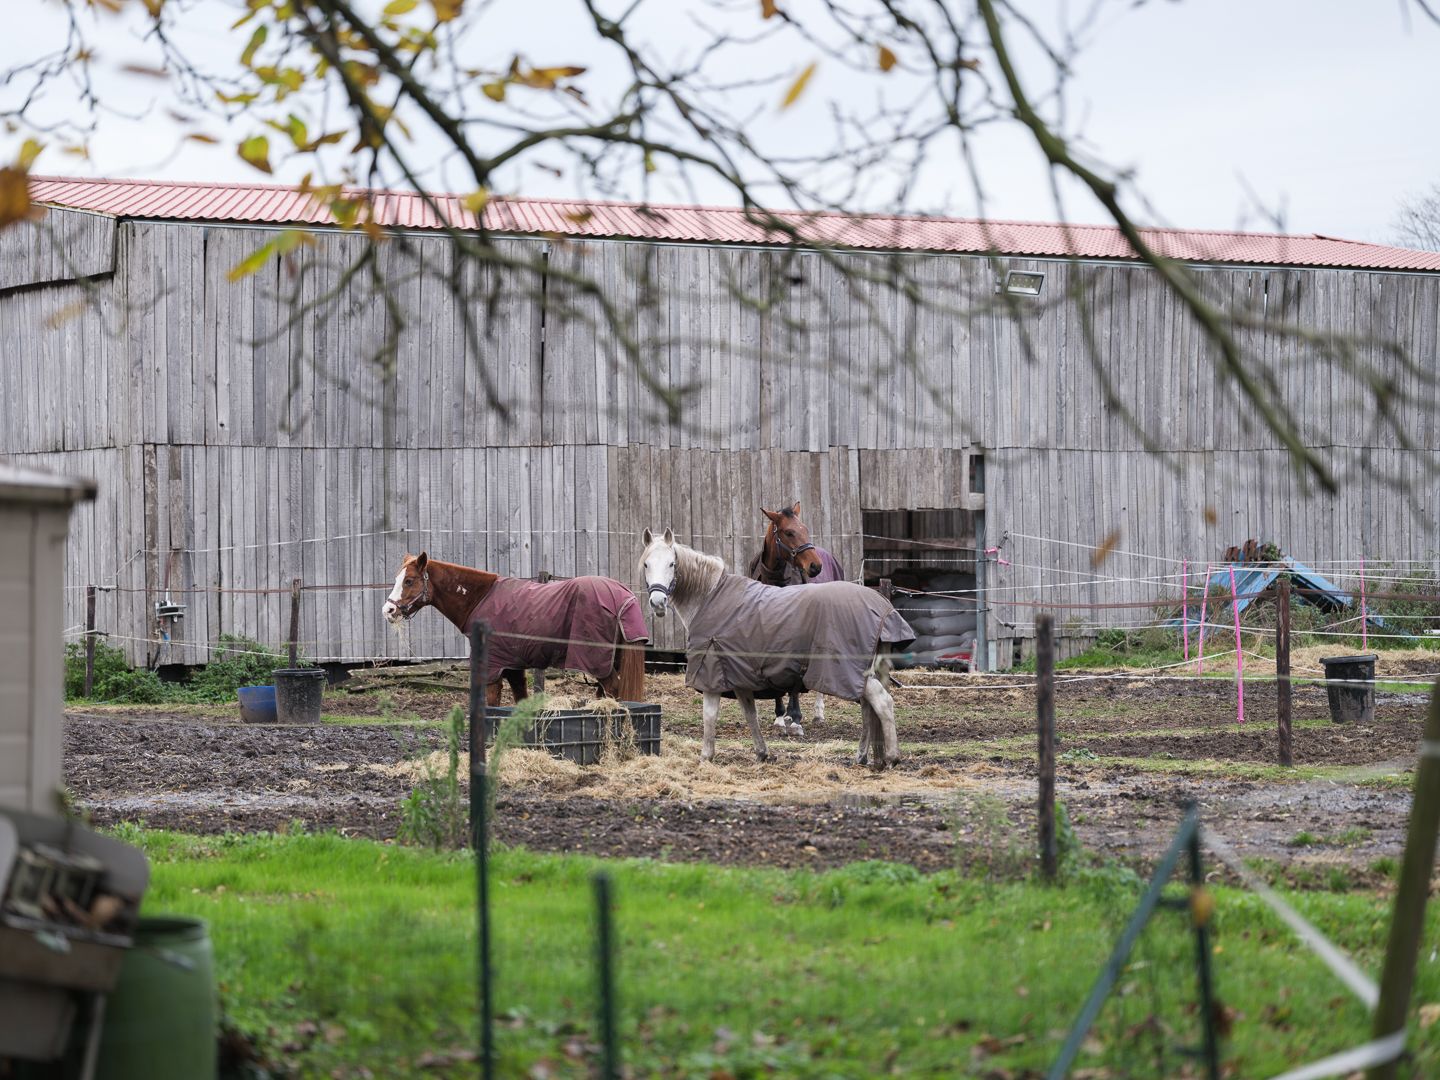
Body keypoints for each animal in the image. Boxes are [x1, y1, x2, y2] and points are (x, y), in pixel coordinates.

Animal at [388, 552, 648, 705]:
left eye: (409, 581)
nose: (388, 610)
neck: (481, 599)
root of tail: (622, 594)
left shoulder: (493, 669)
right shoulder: (513, 668)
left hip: (597, 662)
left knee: (612, 689)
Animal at [642, 529, 910, 771]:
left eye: (672, 563)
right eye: (646, 564)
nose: (658, 603)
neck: (709, 597)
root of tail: (881, 606)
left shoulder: (711, 677)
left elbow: (709, 716)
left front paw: (706, 757)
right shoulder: (739, 677)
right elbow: (750, 714)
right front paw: (762, 753)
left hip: (851, 672)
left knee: (882, 703)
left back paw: (892, 757)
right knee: (868, 709)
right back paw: (862, 756)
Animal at [743, 504, 840, 743]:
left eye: (804, 528)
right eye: (788, 532)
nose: (815, 566)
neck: (777, 582)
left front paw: (796, 720)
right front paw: (780, 717)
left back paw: (817, 713)